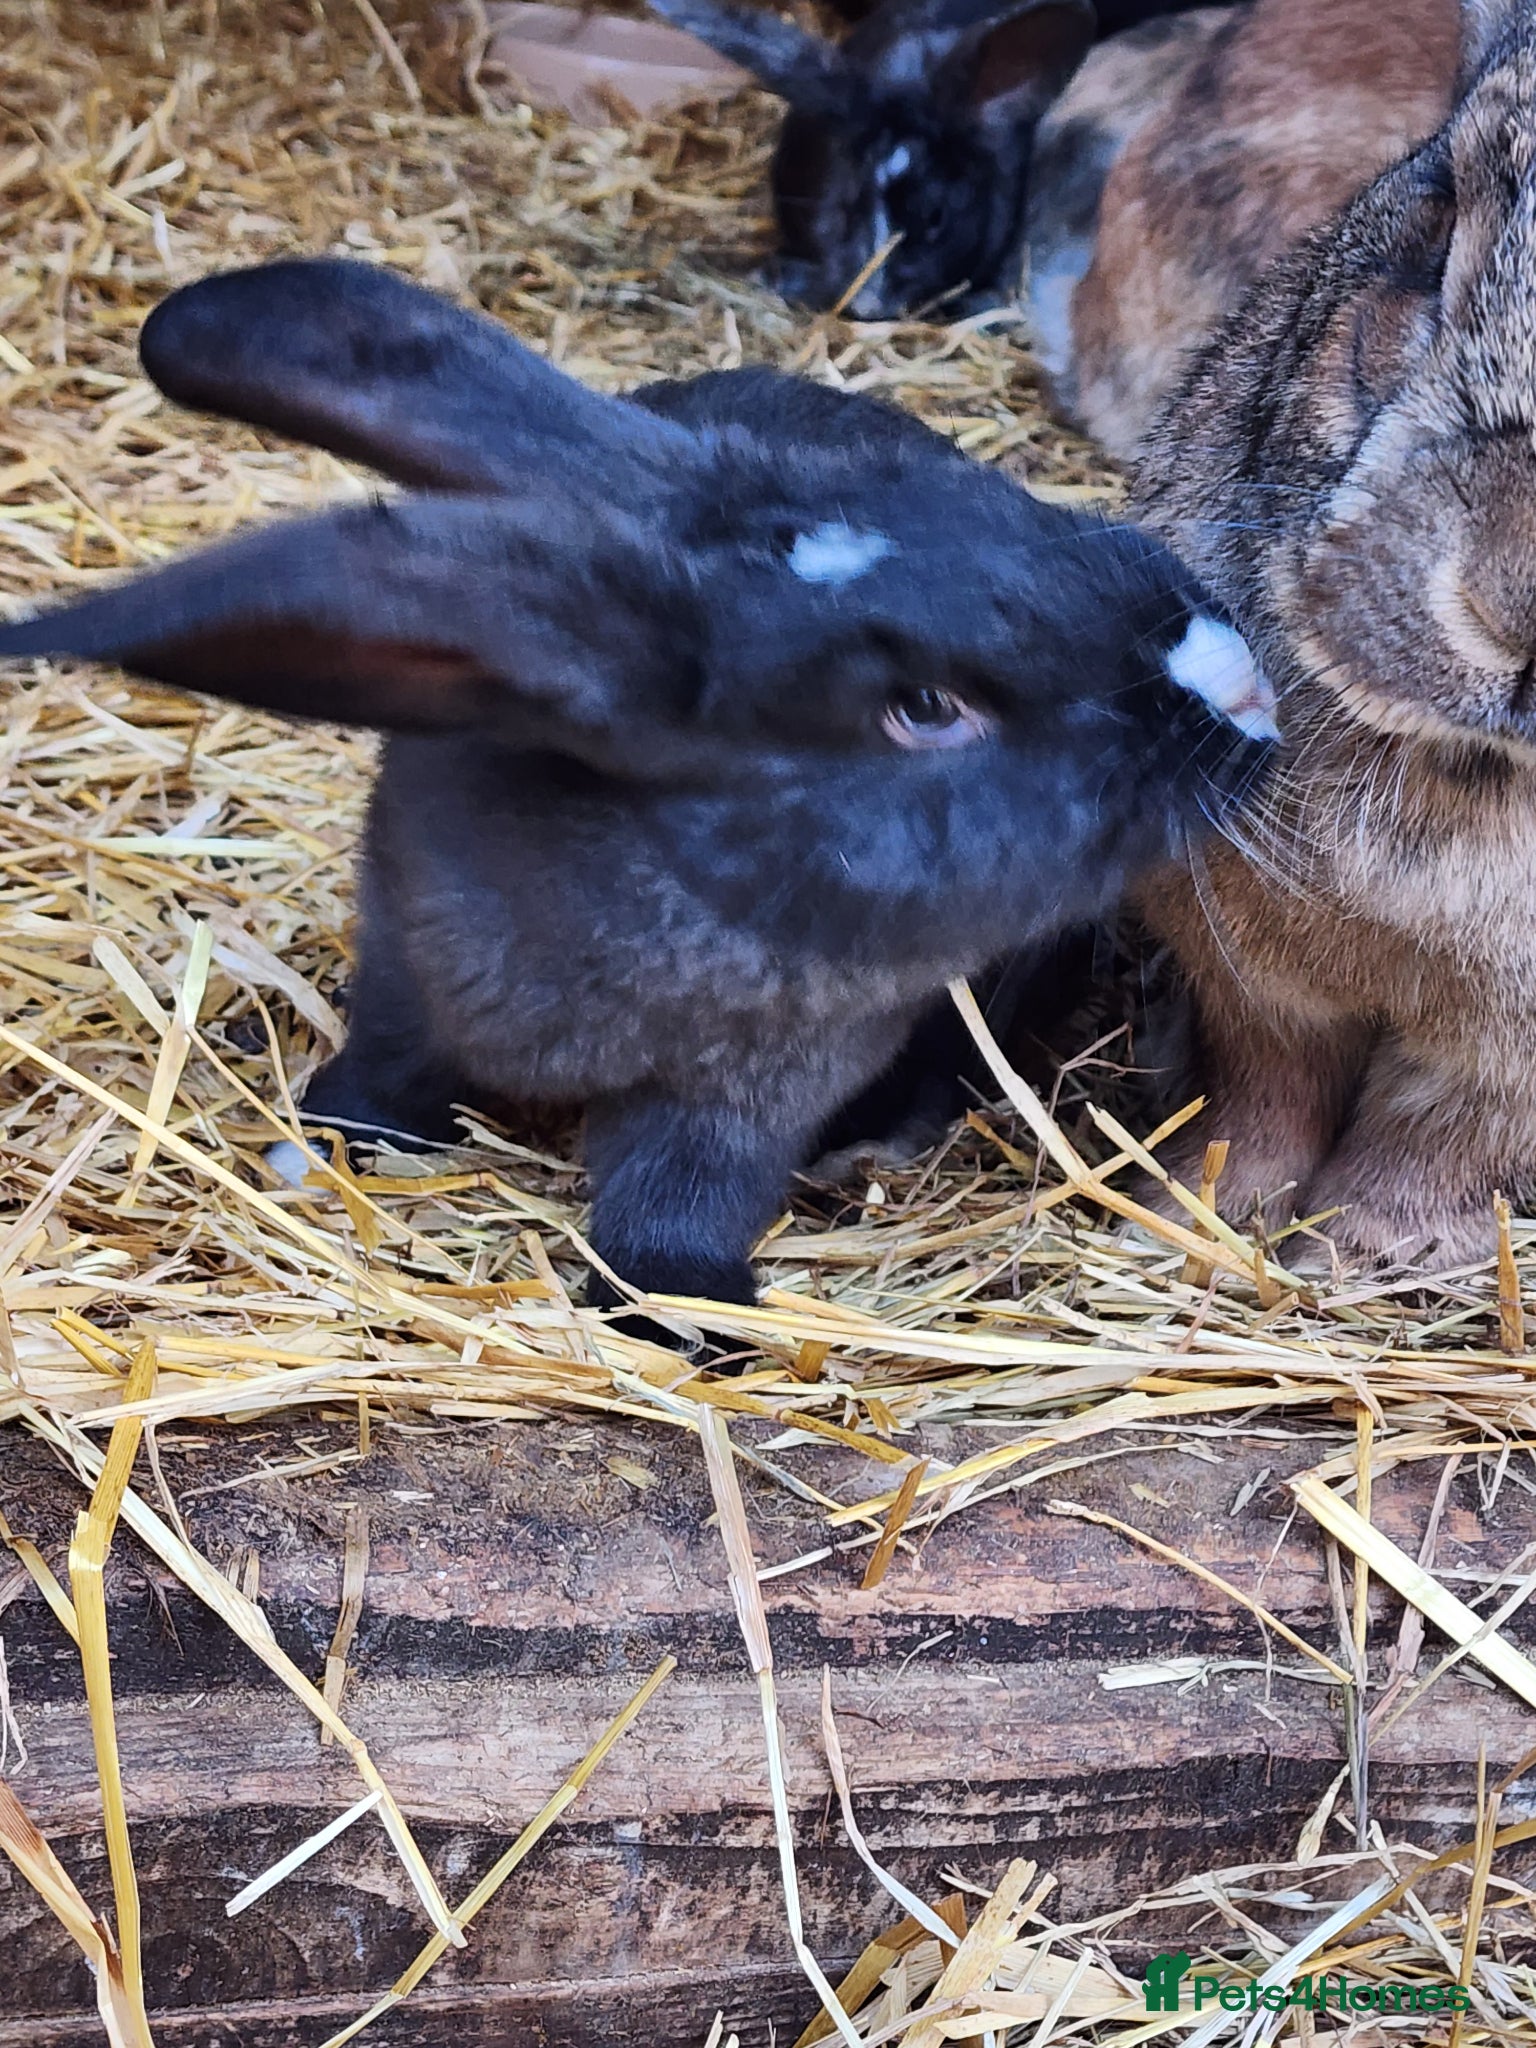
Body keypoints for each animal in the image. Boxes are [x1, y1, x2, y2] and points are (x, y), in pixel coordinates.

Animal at [0, 257, 1276, 1327]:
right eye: (924, 704)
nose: (1241, 680)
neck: (684, 882)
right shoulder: (410, 962)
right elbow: (388, 1068)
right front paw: (322, 1144)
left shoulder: (753, 1090)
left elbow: (681, 1196)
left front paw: (685, 1308)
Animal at [1116, 0, 1536, 1273]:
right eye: (1439, 219)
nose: (1513, 604)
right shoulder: (1251, 983)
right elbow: (1261, 1096)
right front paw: (1198, 1215)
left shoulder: (1497, 1078)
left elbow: (1439, 1146)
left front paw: (1359, 1255)